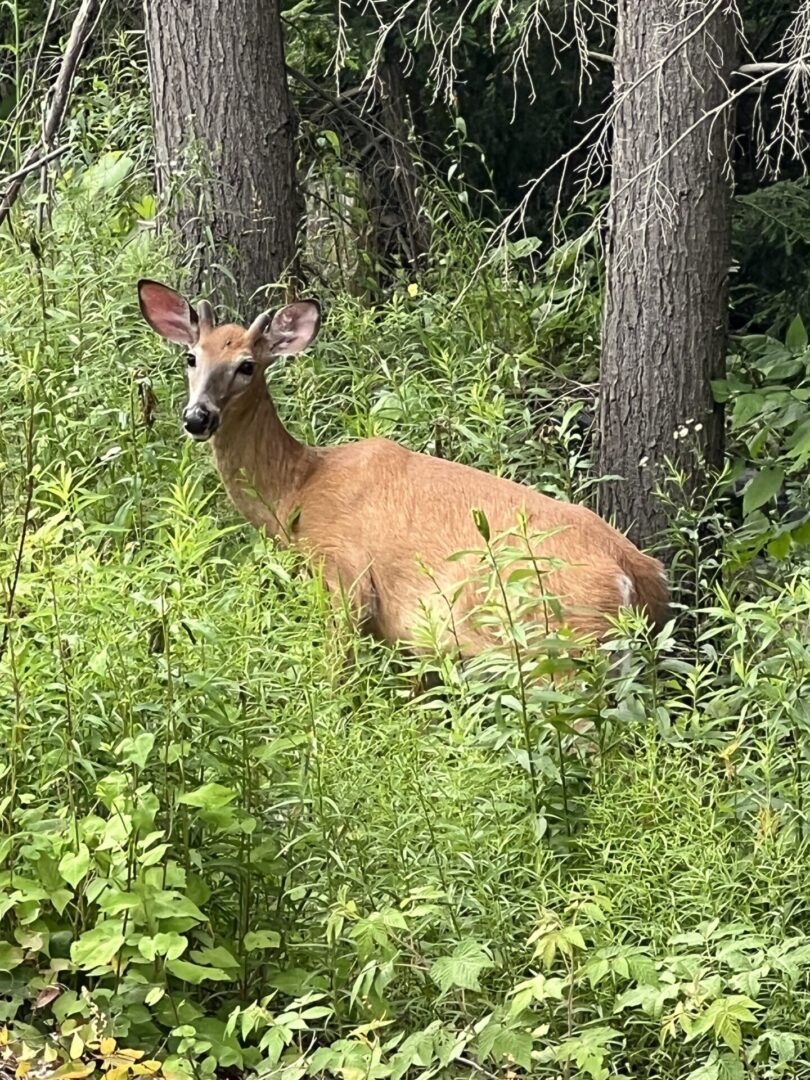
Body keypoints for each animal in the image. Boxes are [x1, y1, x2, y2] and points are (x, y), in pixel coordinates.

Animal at [138, 280, 673, 656]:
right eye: (191, 356)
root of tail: (636, 576)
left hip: (560, 646)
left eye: (247, 365)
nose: (197, 417)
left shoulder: (346, 580)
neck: (299, 490)